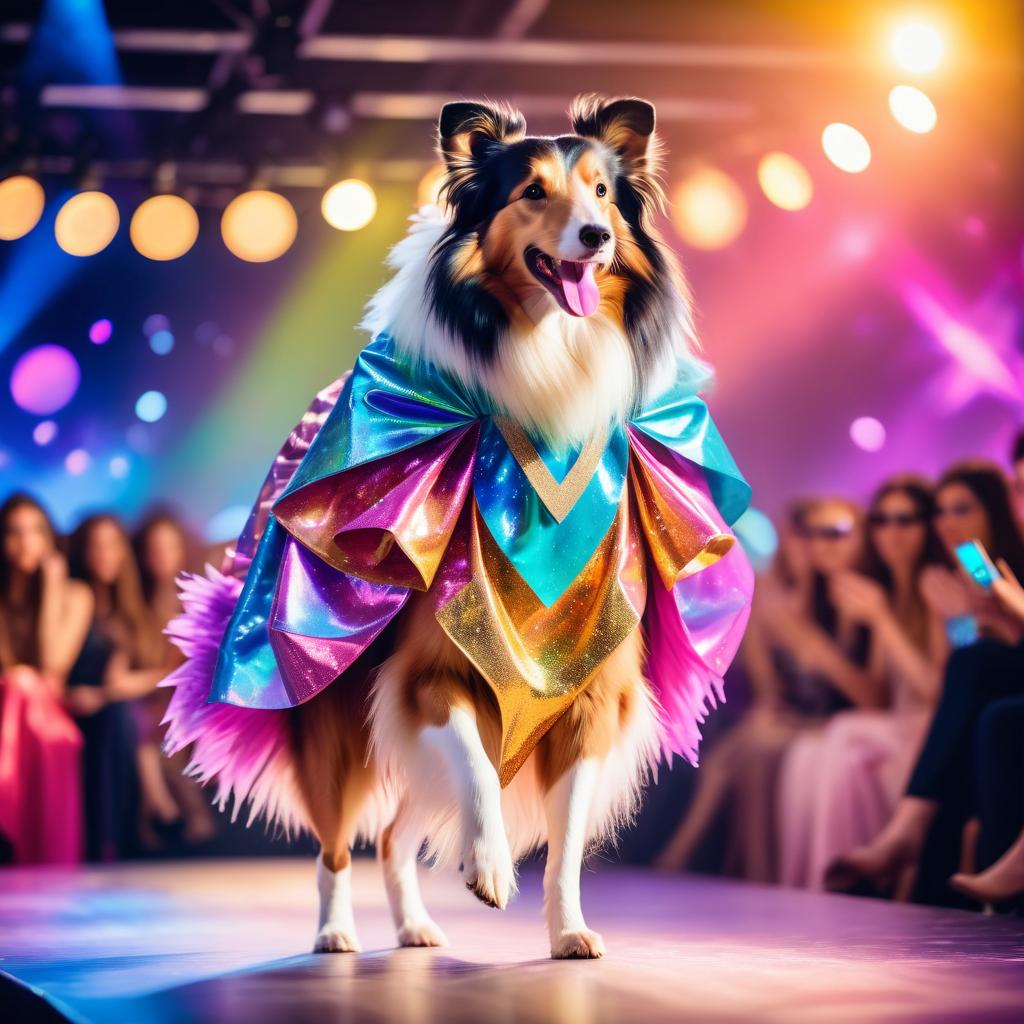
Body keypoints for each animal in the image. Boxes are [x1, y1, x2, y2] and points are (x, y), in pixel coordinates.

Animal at [169, 96, 720, 958]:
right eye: (532, 191)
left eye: (602, 192)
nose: (595, 237)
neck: (549, 362)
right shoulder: (428, 674)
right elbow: (473, 766)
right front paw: (488, 867)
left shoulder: (590, 691)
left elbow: (565, 842)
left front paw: (569, 930)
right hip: (335, 720)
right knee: (338, 843)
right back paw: (336, 933)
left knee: (395, 836)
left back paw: (417, 928)